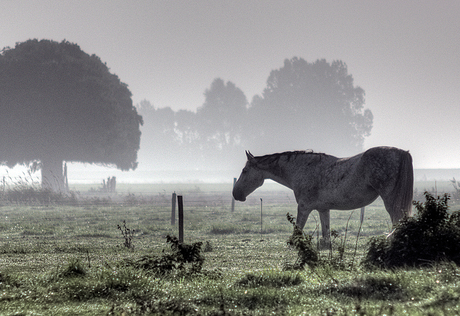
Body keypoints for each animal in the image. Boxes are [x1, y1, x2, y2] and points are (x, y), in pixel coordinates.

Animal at [232, 148, 416, 239]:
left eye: (245, 170)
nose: (236, 194)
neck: (303, 168)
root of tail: (402, 152)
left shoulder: (304, 208)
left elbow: (297, 232)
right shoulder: (323, 209)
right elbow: (326, 237)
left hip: (392, 202)